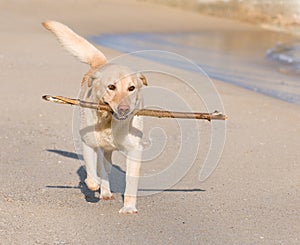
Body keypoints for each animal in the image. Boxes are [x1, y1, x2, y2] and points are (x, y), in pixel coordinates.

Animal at [43, 20, 148, 212]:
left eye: (131, 88)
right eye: (111, 87)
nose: (124, 109)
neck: (109, 122)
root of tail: (102, 64)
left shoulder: (135, 149)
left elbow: (131, 181)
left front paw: (129, 207)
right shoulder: (89, 143)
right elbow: (92, 173)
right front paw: (92, 184)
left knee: (106, 167)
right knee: (101, 169)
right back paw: (103, 191)